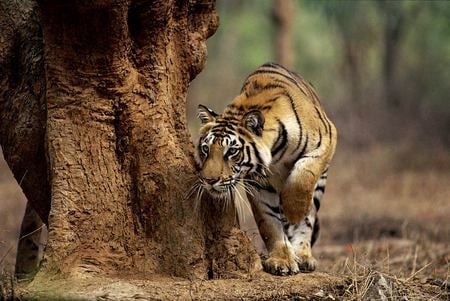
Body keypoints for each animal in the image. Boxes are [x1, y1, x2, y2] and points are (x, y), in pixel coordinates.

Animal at [193, 62, 338, 274]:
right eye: (206, 149)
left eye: (232, 151)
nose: (209, 181)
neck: (275, 155)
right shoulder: (259, 184)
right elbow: (269, 222)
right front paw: (282, 260)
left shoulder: (327, 137)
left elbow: (303, 176)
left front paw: (294, 211)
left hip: (321, 183)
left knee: (309, 217)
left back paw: (303, 255)